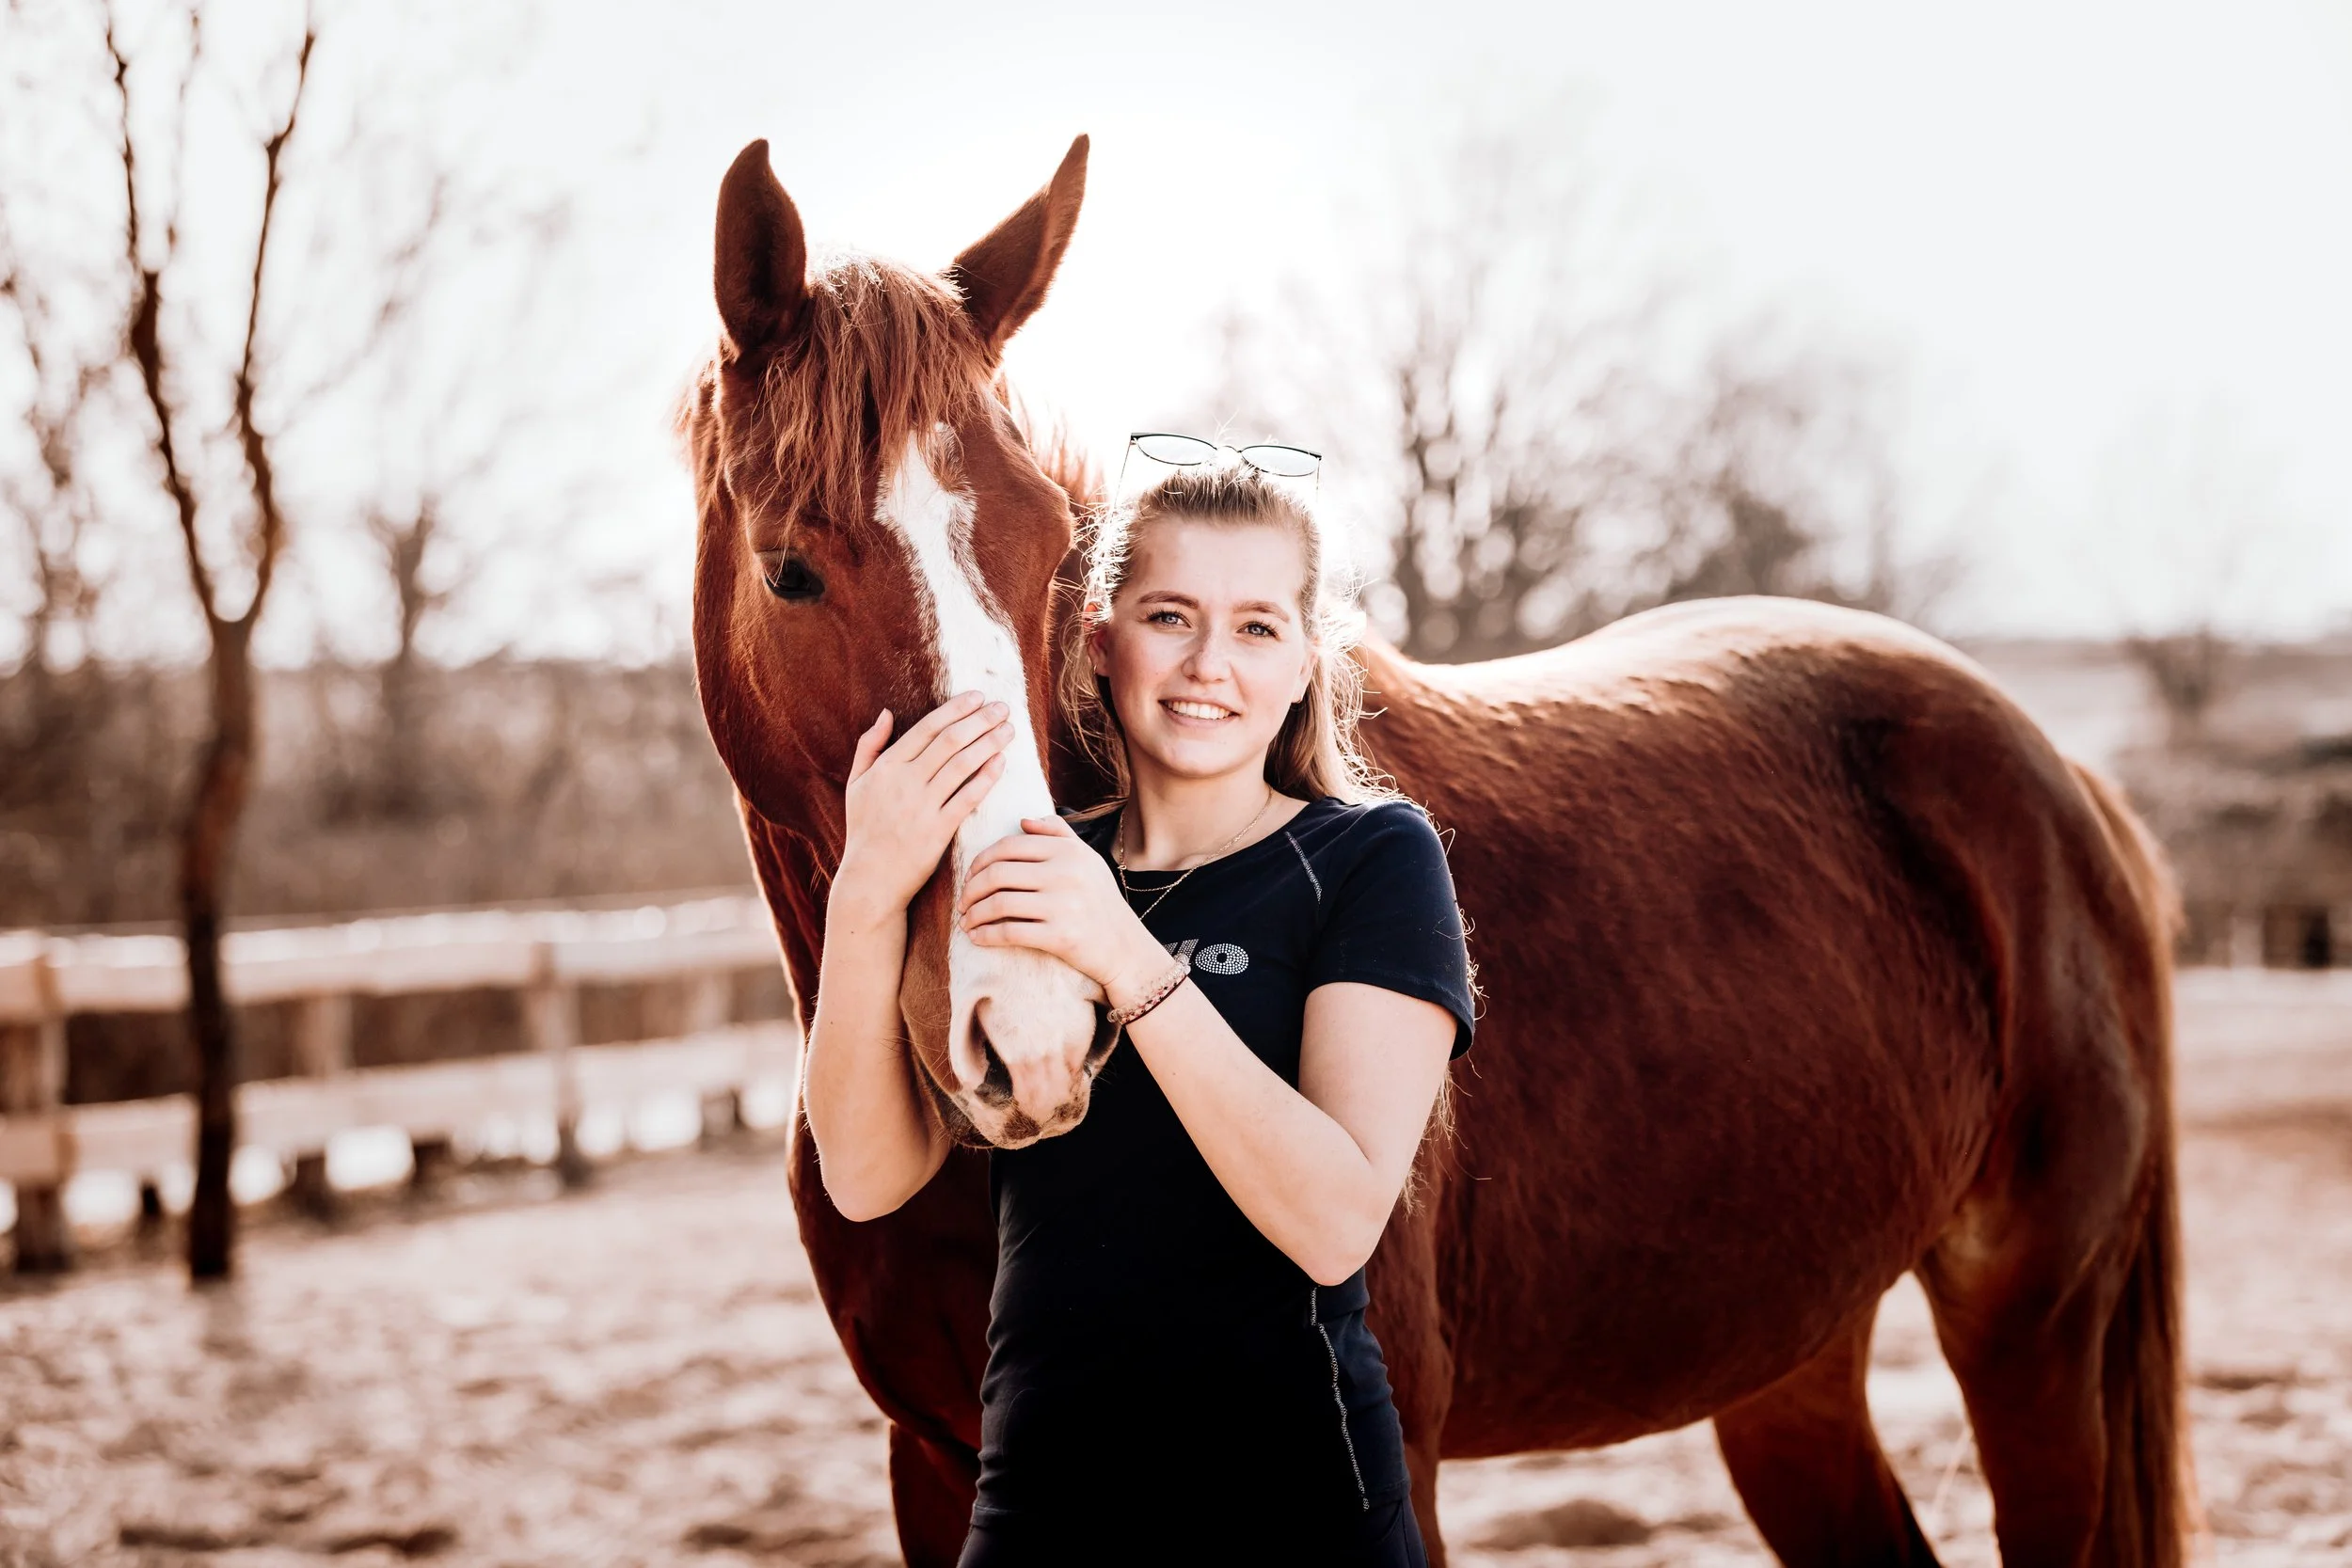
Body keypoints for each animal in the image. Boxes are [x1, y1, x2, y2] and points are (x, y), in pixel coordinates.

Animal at [680, 136, 2190, 1568]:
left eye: (1059, 553)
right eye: (789, 569)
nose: (1034, 1029)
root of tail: (2055, 775)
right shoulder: (933, 1465)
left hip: (2033, 1336)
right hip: (1792, 1357)